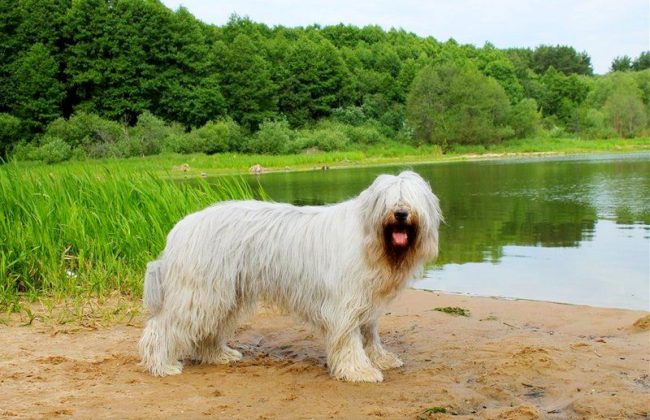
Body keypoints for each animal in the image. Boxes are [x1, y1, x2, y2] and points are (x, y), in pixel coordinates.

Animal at [137, 170, 440, 380]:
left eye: (411, 199)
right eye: (388, 200)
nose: (400, 213)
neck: (370, 238)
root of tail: (180, 229)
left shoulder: (366, 303)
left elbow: (370, 335)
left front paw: (380, 359)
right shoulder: (345, 304)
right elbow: (349, 340)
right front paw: (359, 370)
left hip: (224, 293)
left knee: (208, 329)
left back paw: (218, 355)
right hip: (199, 292)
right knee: (162, 327)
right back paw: (161, 364)